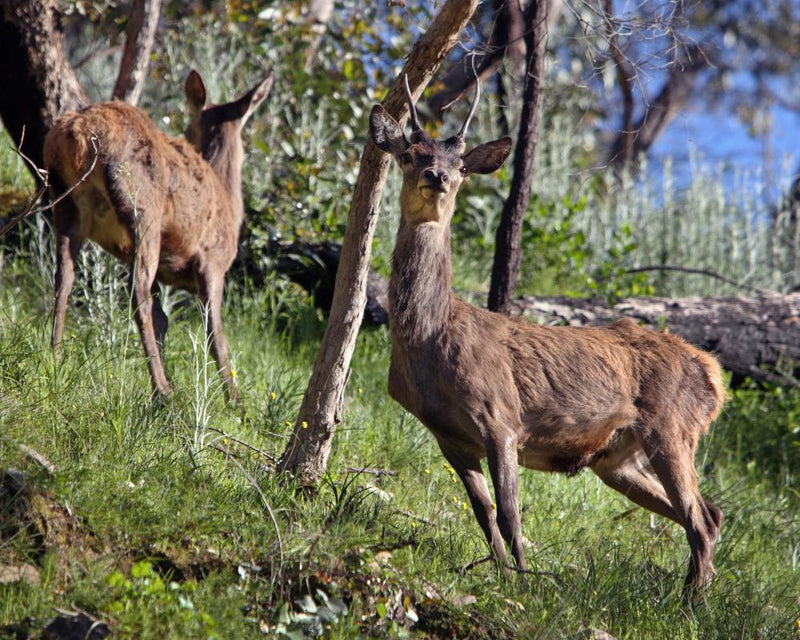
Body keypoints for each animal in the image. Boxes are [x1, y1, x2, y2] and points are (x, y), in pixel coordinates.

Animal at [43, 69, 273, 402]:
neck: (229, 198)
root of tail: (79, 133)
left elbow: (163, 319)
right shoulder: (212, 262)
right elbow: (215, 332)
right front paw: (234, 401)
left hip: (65, 204)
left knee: (64, 278)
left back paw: (56, 357)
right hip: (143, 209)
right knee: (136, 291)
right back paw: (162, 391)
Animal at [368, 77, 726, 594]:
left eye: (462, 167)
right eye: (411, 153)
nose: (438, 176)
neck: (431, 341)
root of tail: (714, 374)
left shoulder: (500, 416)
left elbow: (511, 514)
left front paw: (523, 582)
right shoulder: (448, 435)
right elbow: (484, 514)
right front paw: (500, 575)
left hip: (672, 426)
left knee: (699, 517)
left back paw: (690, 601)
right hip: (617, 459)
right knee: (709, 514)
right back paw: (694, 593)